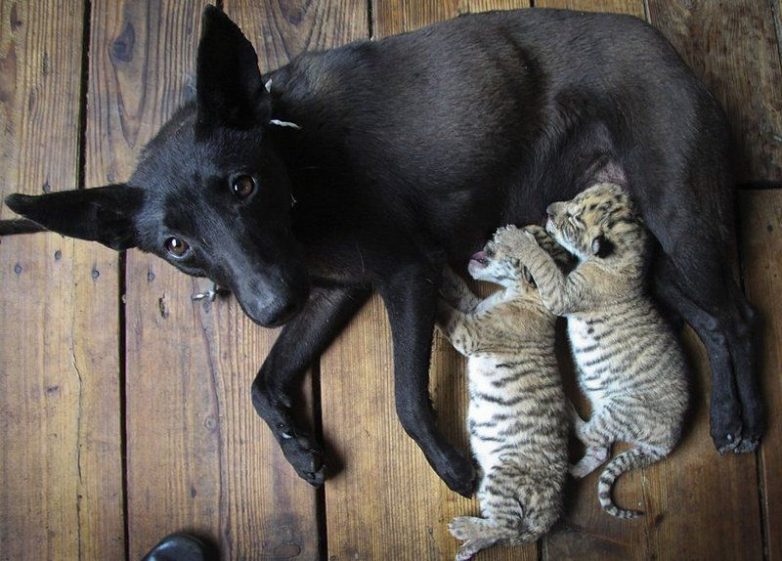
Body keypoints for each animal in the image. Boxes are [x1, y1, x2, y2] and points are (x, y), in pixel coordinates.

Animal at [2, 6, 762, 495]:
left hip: (678, 214)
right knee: (712, 319)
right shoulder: (331, 289)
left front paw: (452, 467)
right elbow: (262, 381)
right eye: (178, 245)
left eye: (243, 184)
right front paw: (299, 448)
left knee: (740, 316)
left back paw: (749, 423)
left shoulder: (405, 273)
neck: (297, 162)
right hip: (627, 251)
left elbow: (404, 394)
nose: (271, 306)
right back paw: (726, 419)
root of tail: (665, 46)